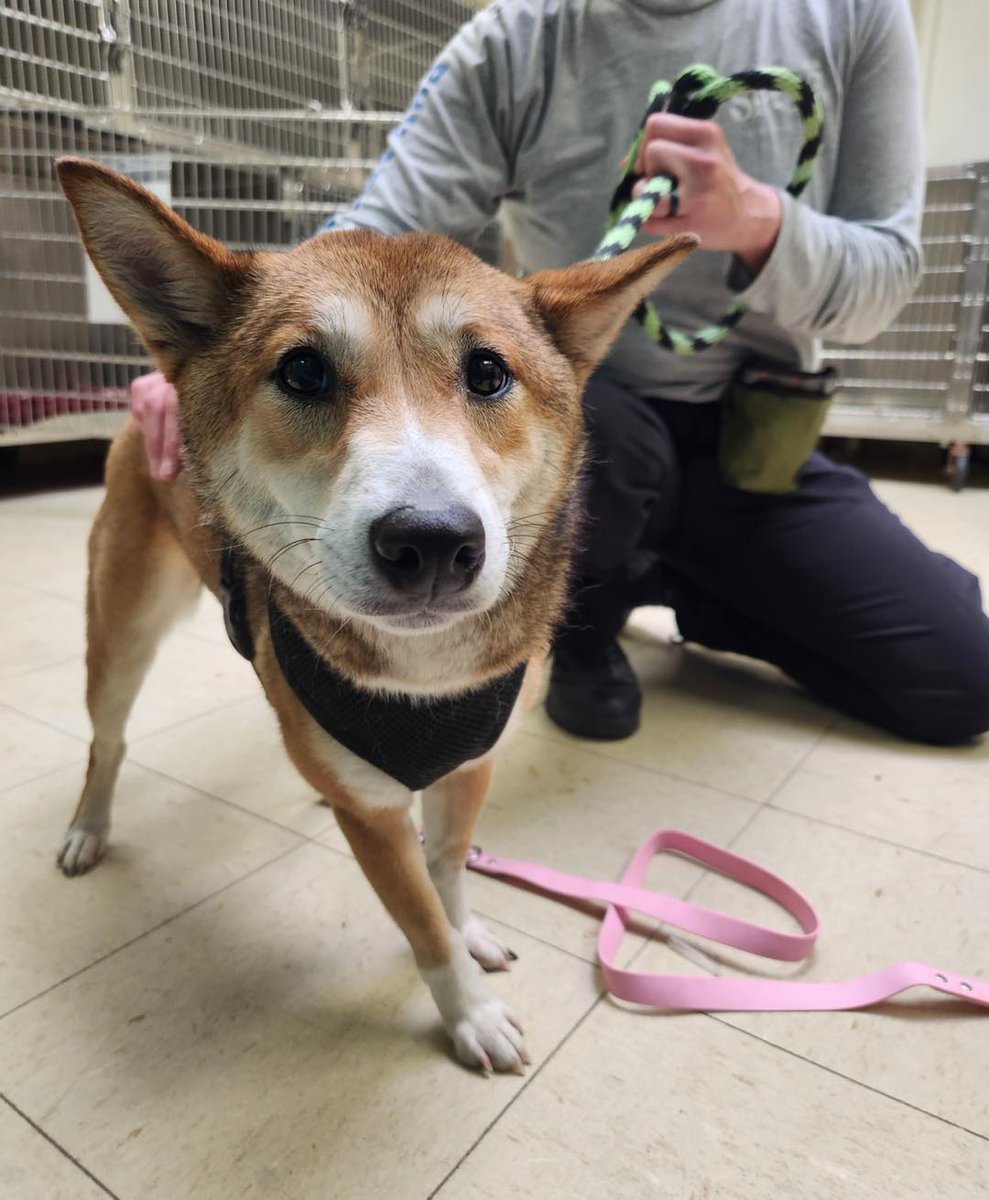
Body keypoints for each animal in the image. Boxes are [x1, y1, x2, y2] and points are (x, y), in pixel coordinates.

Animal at [54, 157, 696, 1070]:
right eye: (302, 372)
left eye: (488, 373)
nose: (431, 542)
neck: (423, 678)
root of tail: (145, 391)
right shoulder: (378, 821)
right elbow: (419, 919)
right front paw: (470, 1014)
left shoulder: (469, 765)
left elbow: (449, 866)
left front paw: (471, 933)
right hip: (122, 631)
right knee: (107, 740)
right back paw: (88, 827)